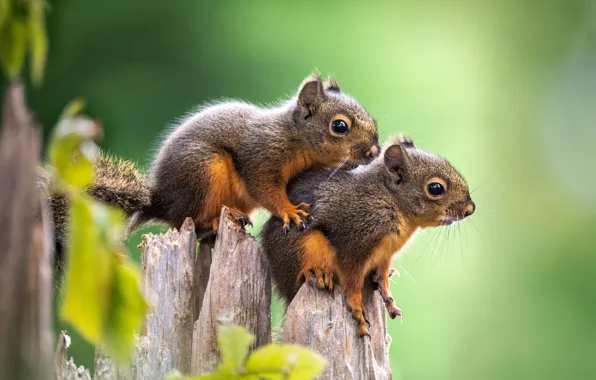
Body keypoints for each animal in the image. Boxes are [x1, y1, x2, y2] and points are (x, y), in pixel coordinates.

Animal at [42, 72, 380, 248]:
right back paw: (218, 220)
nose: (374, 152)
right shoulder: (262, 155)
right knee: (188, 220)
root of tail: (159, 202)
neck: (295, 137)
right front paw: (290, 211)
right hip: (204, 171)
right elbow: (266, 189)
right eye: (339, 126)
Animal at [260, 134, 474, 336]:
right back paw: (318, 273)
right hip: (303, 246)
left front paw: (388, 299)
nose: (470, 209)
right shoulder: (355, 243)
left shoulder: (385, 255)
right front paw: (357, 308)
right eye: (435, 188)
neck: (391, 201)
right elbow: (352, 281)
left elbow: (383, 277)